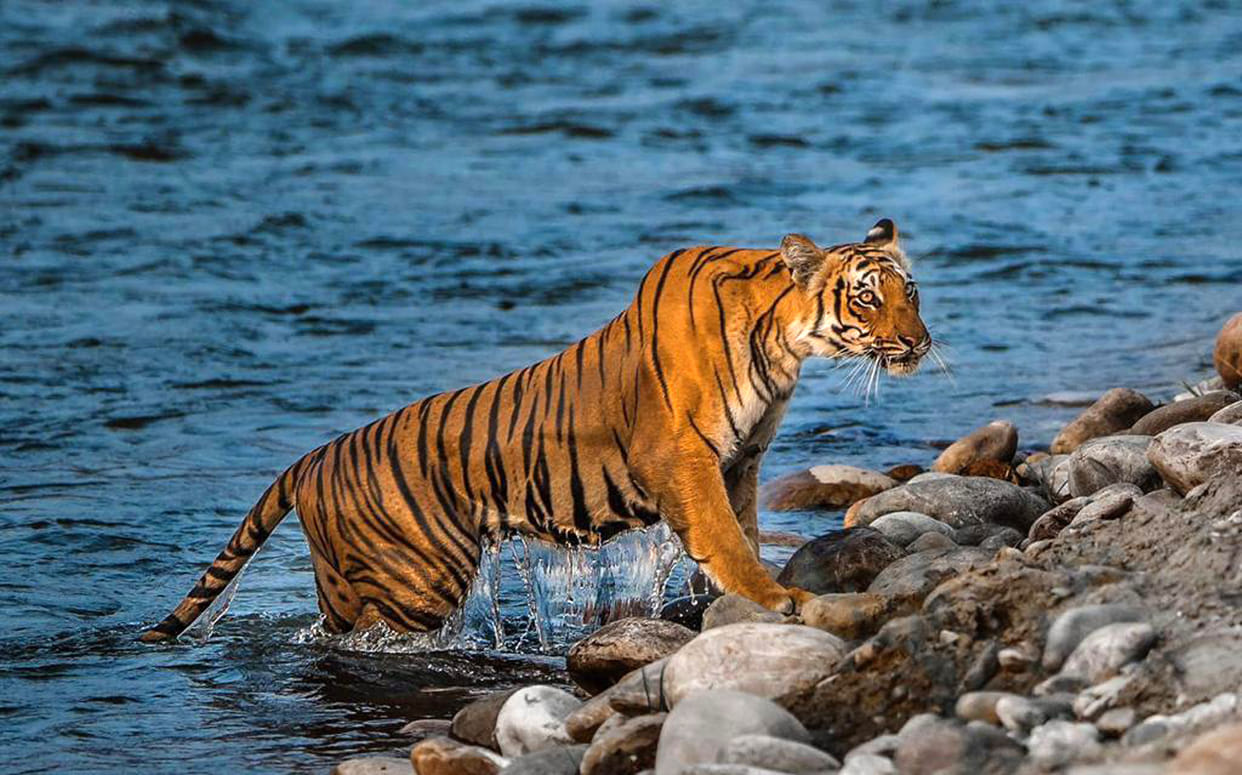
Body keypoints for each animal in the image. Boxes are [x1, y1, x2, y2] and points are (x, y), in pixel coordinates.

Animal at [142, 218, 931, 643]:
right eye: (866, 298)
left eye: (911, 291)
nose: (919, 343)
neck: (780, 343)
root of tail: (310, 458)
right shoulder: (687, 458)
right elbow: (728, 540)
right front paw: (776, 600)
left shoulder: (745, 457)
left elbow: (742, 528)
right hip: (410, 588)